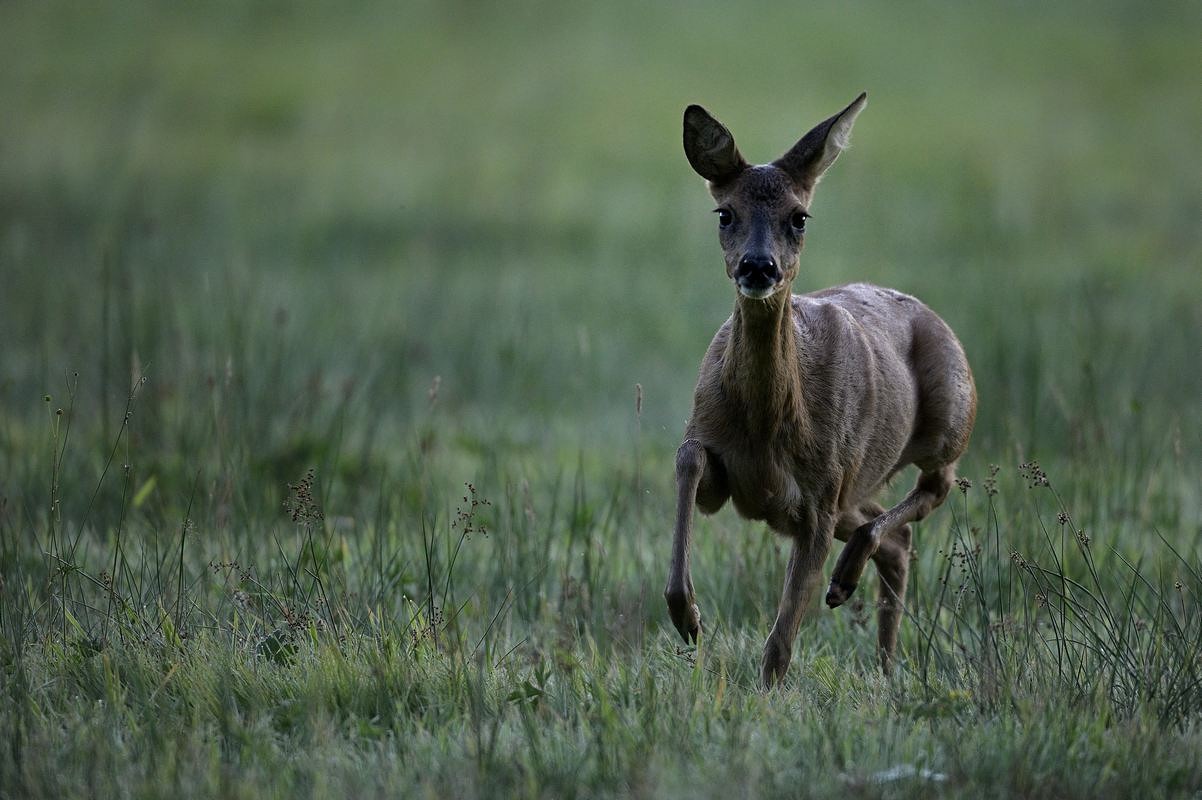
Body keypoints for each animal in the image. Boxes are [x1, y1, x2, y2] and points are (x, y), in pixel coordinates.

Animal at [663, 90, 980, 682]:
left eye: (799, 217)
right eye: (725, 213)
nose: (758, 266)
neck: (766, 427)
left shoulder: (817, 498)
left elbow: (781, 641)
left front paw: (763, 693)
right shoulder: (730, 473)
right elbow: (689, 461)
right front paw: (687, 617)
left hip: (949, 416)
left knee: (934, 488)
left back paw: (847, 587)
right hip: (852, 485)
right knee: (893, 535)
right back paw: (882, 661)